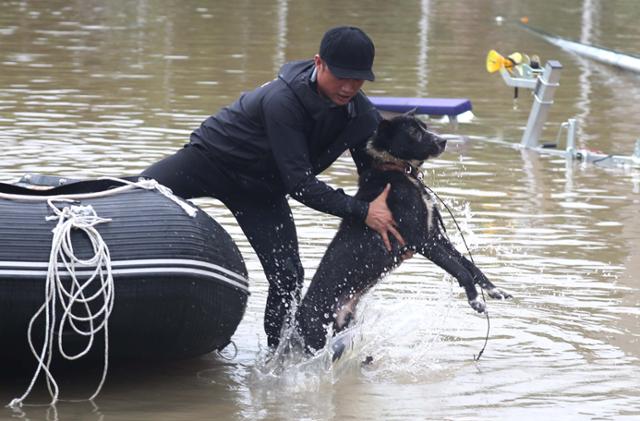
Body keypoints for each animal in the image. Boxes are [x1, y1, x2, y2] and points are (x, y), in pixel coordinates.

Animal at [294, 111, 510, 352]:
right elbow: (459, 269)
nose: (443, 141)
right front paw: (476, 301)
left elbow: (470, 265)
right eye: (414, 132)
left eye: (425, 127)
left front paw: (494, 290)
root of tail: (298, 319)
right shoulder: (423, 240)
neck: (397, 170)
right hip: (316, 337)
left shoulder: (436, 236)